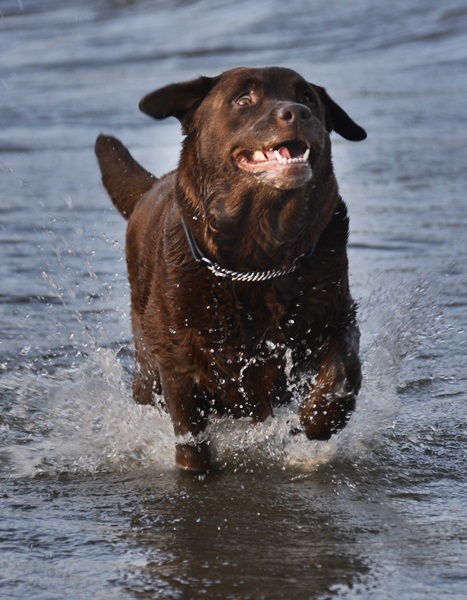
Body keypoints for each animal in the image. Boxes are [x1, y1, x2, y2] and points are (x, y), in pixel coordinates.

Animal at [94, 67, 366, 474]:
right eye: (243, 100)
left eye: (307, 97)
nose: (298, 113)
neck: (259, 257)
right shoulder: (177, 359)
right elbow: (190, 435)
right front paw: (195, 468)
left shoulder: (335, 311)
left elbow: (344, 367)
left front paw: (320, 417)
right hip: (146, 368)